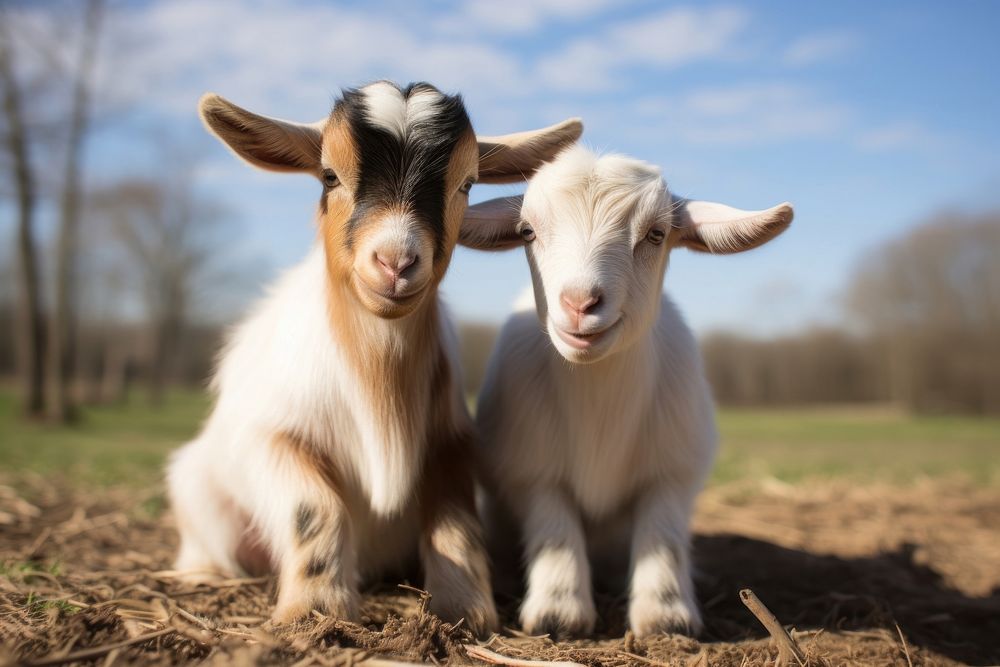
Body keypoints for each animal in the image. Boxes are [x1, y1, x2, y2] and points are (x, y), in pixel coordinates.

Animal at [167, 81, 584, 636]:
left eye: (467, 183)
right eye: (328, 175)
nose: (396, 262)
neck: (377, 369)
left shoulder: (449, 442)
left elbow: (456, 522)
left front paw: (466, 610)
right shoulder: (267, 437)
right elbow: (315, 508)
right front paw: (316, 610)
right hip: (197, 490)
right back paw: (201, 575)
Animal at [460, 146, 796, 636]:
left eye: (656, 234)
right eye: (527, 232)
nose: (580, 304)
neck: (599, 397)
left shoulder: (672, 471)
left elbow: (662, 536)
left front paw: (666, 617)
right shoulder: (532, 469)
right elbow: (555, 530)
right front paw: (558, 612)